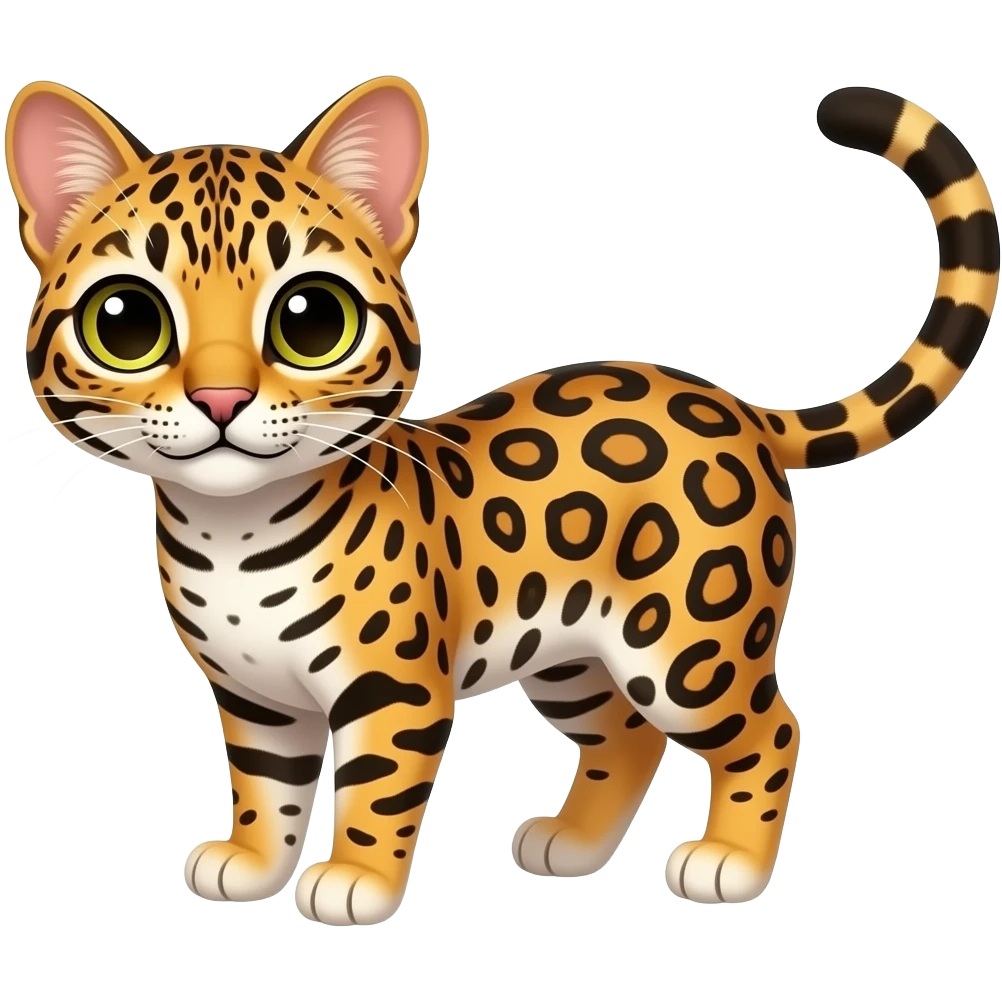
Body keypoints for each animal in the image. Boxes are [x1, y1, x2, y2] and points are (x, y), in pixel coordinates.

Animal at [5, 78, 999, 923]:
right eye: (127, 322)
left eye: (311, 321)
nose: (220, 401)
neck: (230, 537)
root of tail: (737, 407)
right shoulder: (257, 698)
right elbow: (264, 789)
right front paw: (252, 863)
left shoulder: (395, 687)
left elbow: (377, 790)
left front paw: (355, 880)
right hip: (570, 655)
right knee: (626, 737)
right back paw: (575, 845)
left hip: (690, 647)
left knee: (772, 729)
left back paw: (731, 864)